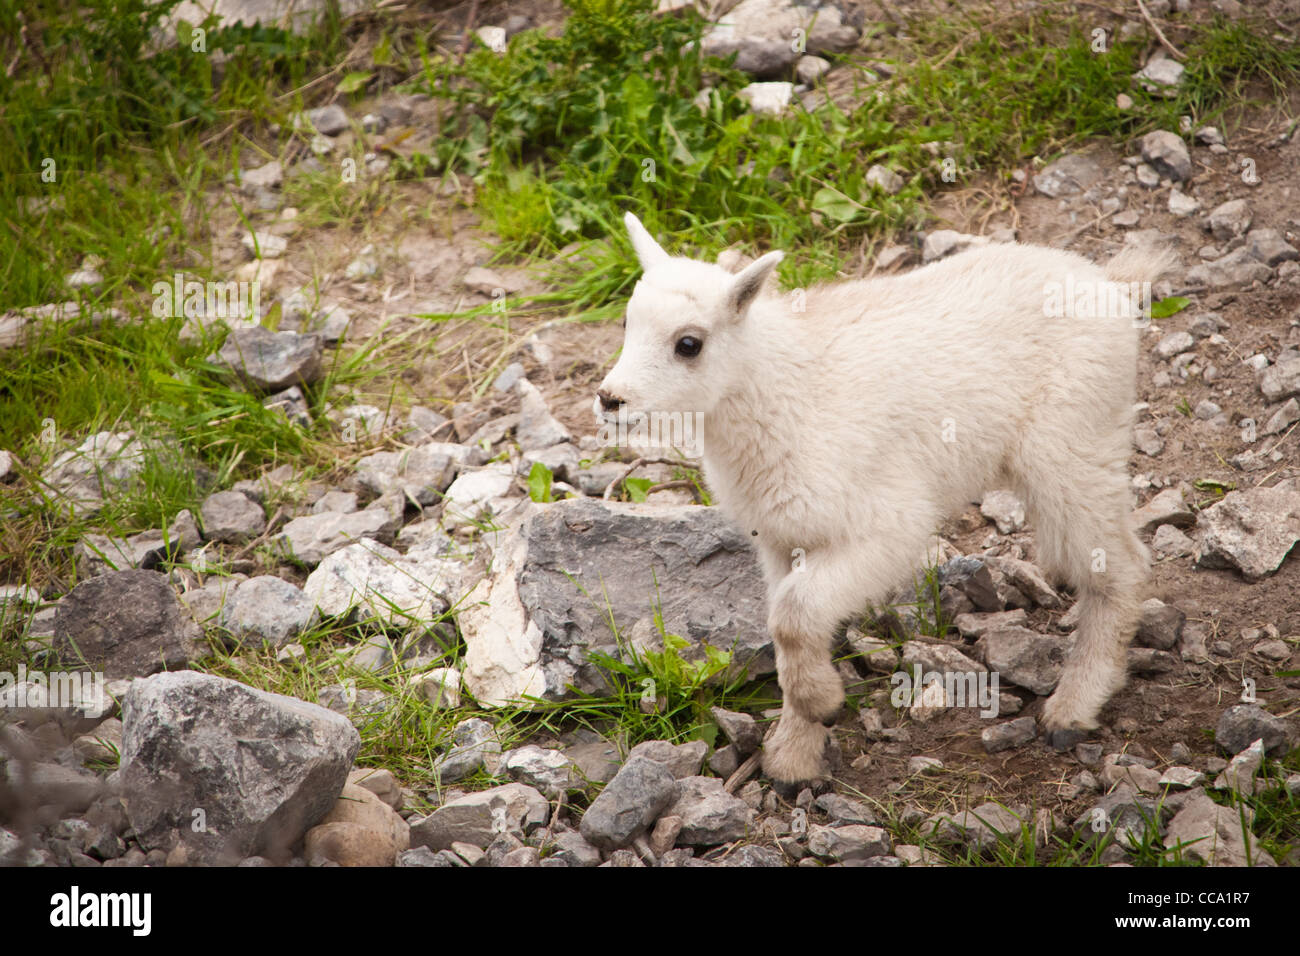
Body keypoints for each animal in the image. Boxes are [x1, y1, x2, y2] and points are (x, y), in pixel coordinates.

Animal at [597, 212, 1172, 784]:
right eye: (627, 323)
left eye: (688, 344)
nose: (609, 400)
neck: (784, 393)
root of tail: (1110, 284)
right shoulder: (782, 539)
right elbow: (789, 629)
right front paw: (795, 752)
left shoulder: (888, 524)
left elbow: (793, 615)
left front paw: (821, 707)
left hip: (1072, 444)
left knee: (1121, 562)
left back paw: (1074, 707)